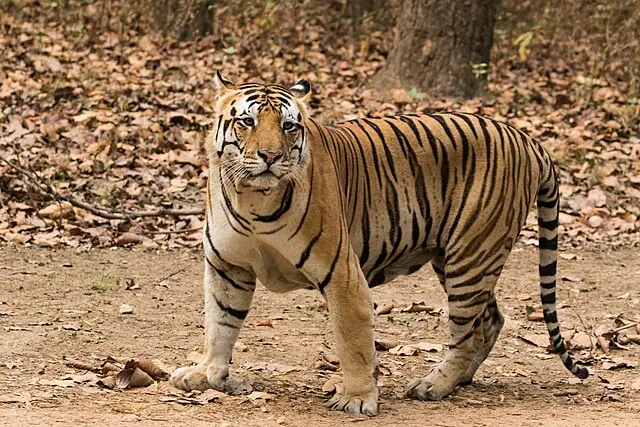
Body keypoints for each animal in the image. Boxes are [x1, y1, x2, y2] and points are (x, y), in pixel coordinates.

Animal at [169, 72, 589, 416]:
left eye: (288, 126)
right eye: (247, 122)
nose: (270, 156)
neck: (252, 198)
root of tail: (527, 138)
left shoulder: (342, 273)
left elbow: (353, 340)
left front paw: (357, 398)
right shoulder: (228, 267)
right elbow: (220, 324)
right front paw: (207, 374)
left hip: (472, 255)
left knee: (466, 331)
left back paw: (434, 385)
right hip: (456, 257)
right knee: (490, 320)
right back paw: (459, 380)